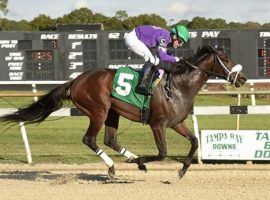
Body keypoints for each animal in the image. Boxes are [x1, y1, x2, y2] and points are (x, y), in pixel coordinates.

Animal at [0, 46, 247, 179]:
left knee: (109, 140)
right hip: (98, 111)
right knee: (90, 139)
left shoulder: (176, 122)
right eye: (225, 59)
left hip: (112, 113)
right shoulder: (157, 124)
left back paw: (125, 162)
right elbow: (162, 153)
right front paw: (140, 160)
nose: (242, 79)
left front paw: (182, 170)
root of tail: (75, 81)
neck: (178, 86)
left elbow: (195, 141)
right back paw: (115, 165)